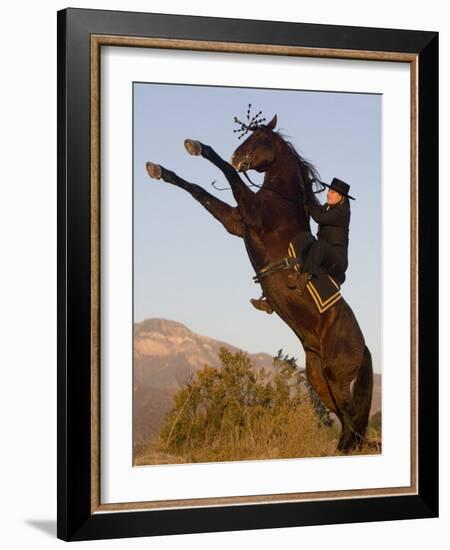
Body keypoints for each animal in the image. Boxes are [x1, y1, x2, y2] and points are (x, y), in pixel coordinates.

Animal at [146, 114, 374, 454]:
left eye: (261, 140)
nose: (237, 157)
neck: (281, 200)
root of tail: (364, 345)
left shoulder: (250, 214)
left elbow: (225, 177)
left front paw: (198, 147)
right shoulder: (236, 222)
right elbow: (199, 191)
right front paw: (160, 170)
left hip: (336, 373)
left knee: (350, 417)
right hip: (320, 378)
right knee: (345, 417)